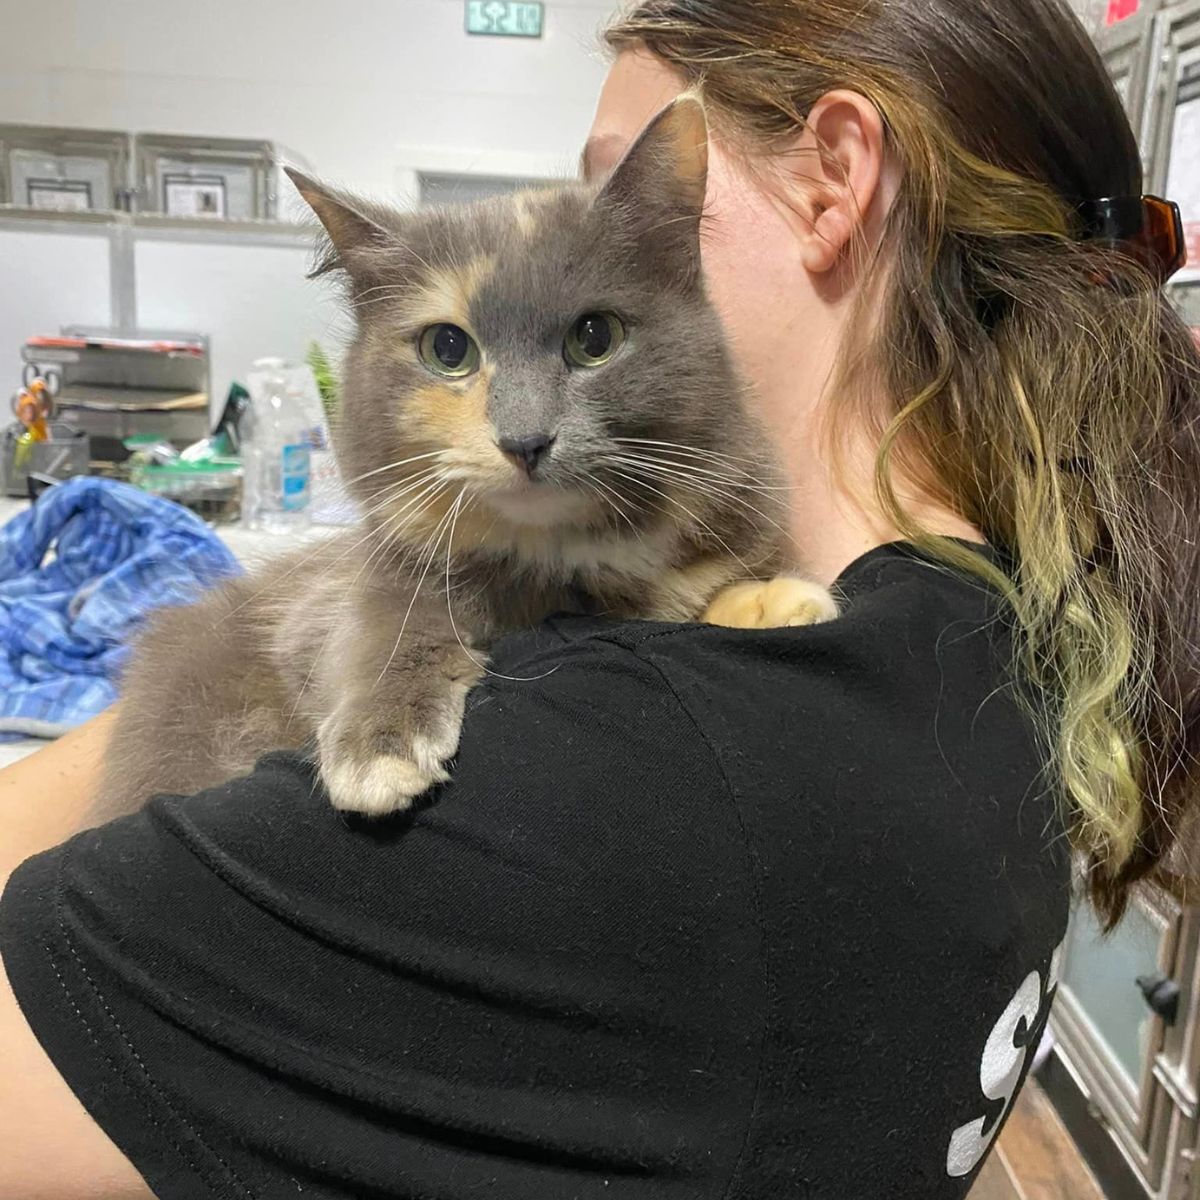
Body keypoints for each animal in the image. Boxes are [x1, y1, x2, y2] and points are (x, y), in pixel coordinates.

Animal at [96, 98, 835, 820]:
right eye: (447, 350)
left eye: (595, 337)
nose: (525, 440)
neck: (563, 556)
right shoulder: (338, 599)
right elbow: (388, 627)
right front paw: (379, 749)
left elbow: (702, 592)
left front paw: (777, 599)